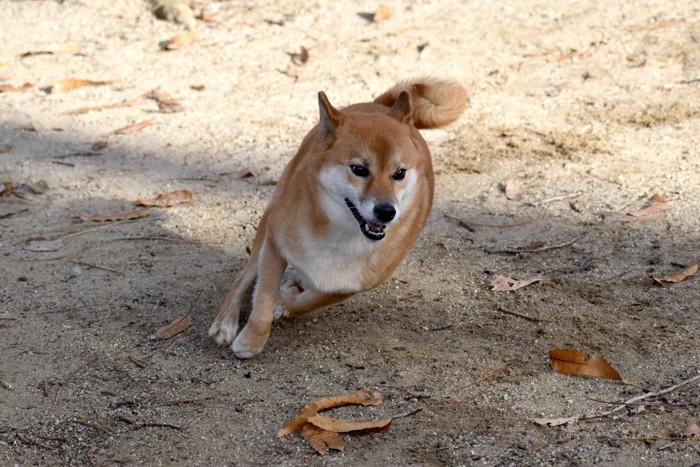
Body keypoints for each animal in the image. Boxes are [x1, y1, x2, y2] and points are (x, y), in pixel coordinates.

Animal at [209, 77, 470, 358]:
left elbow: (306, 302)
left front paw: (285, 302)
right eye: (359, 170)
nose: (386, 211)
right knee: (243, 276)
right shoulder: (275, 245)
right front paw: (251, 341)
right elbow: (263, 300)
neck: (341, 233)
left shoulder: (351, 285)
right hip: (270, 217)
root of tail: (378, 105)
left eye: (399, 173)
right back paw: (225, 322)